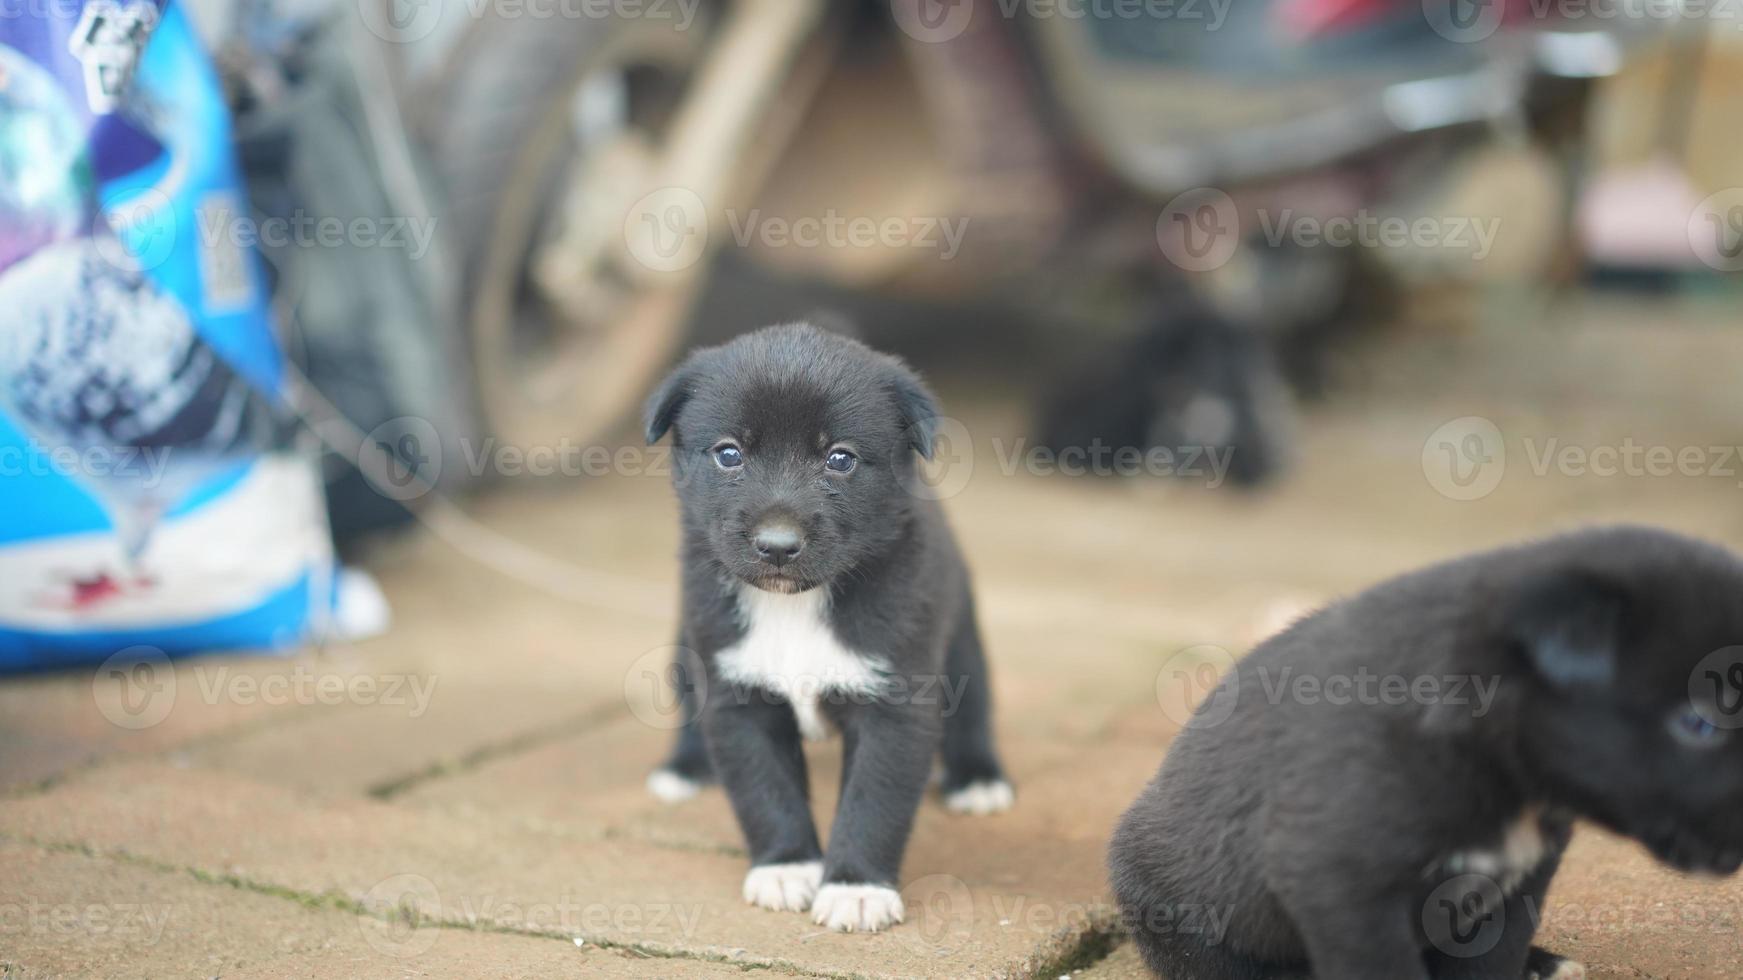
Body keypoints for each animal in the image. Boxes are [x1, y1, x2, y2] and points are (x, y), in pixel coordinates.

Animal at [648, 322, 1017, 927]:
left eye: (839, 458)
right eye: (729, 453)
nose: (776, 546)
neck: (796, 605)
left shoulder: (895, 703)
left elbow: (874, 799)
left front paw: (855, 887)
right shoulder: (737, 696)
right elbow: (764, 789)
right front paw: (785, 867)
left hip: (960, 628)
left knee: (975, 702)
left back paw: (977, 777)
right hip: (687, 640)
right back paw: (684, 765)